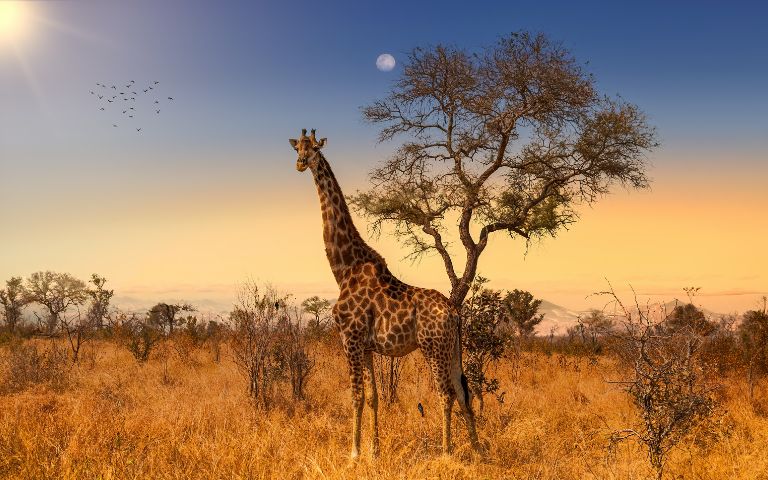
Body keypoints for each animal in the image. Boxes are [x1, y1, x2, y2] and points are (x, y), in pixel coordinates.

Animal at [289, 128, 480, 458]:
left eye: (314, 148)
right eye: (296, 148)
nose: (301, 163)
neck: (344, 268)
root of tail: (454, 312)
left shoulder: (350, 338)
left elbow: (355, 396)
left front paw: (353, 454)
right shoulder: (366, 346)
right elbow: (373, 397)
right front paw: (374, 451)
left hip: (433, 346)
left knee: (445, 392)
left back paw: (446, 452)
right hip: (453, 347)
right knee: (462, 390)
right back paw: (479, 450)